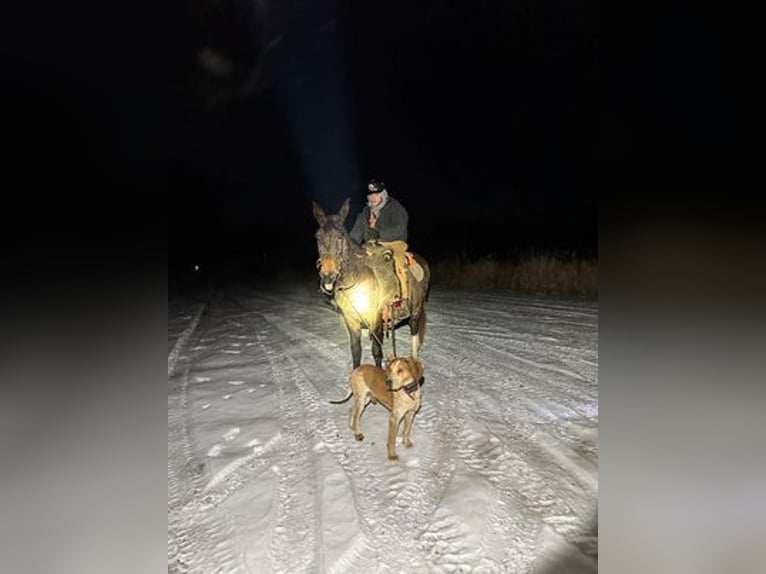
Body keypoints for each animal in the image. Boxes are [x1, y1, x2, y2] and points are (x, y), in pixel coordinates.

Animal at [312, 199, 432, 368]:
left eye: (341, 236)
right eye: (318, 237)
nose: (328, 276)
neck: (357, 278)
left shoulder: (375, 317)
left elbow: (376, 351)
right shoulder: (351, 319)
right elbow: (356, 351)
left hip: (416, 309)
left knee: (414, 330)